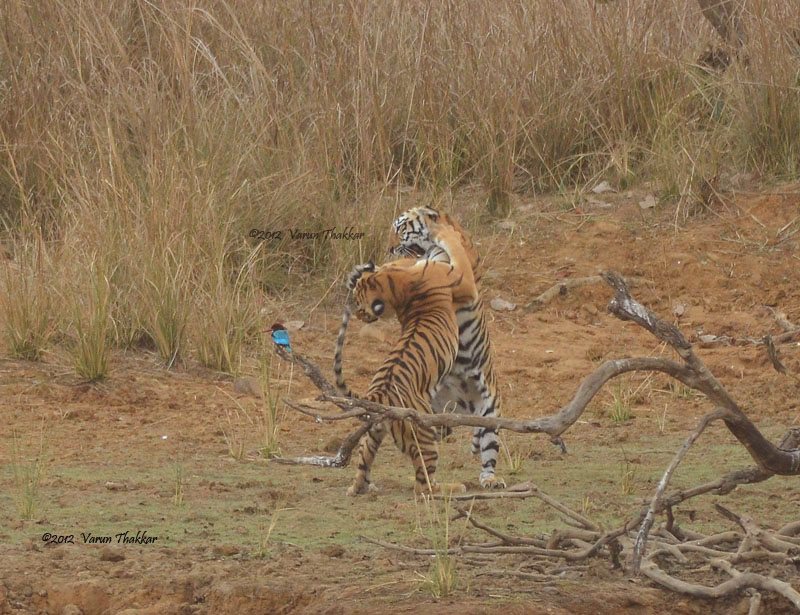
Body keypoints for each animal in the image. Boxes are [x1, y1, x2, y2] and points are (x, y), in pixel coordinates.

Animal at [338, 207, 506, 490]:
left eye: (400, 227)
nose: (389, 248)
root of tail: (460, 405)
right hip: (426, 420)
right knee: (423, 481)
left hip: (488, 411)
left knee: (486, 454)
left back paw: (490, 480)